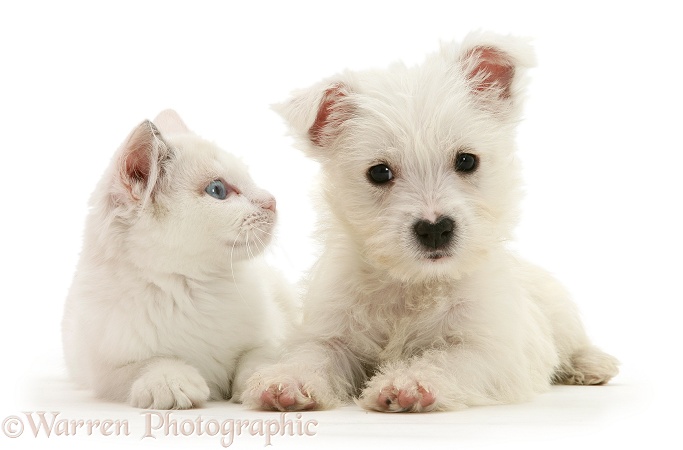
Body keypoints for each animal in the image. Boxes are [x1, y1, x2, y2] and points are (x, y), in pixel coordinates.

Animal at [64, 110, 296, 410]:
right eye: (217, 190)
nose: (272, 201)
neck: (192, 288)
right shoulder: (104, 371)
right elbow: (150, 363)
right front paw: (171, 381)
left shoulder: (271, 338)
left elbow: (257, 358)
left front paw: (269, 384)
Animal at [244, 30, 620, 412]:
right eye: (379, 172)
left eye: (467, 160)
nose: (435, 229)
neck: (414, 283)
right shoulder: (331, 332)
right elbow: (313, 354)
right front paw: (287, 380)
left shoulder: (490, 347)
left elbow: (446, 358)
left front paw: (409, 381)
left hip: (558, 311)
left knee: (573, 342)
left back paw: (592, 364)